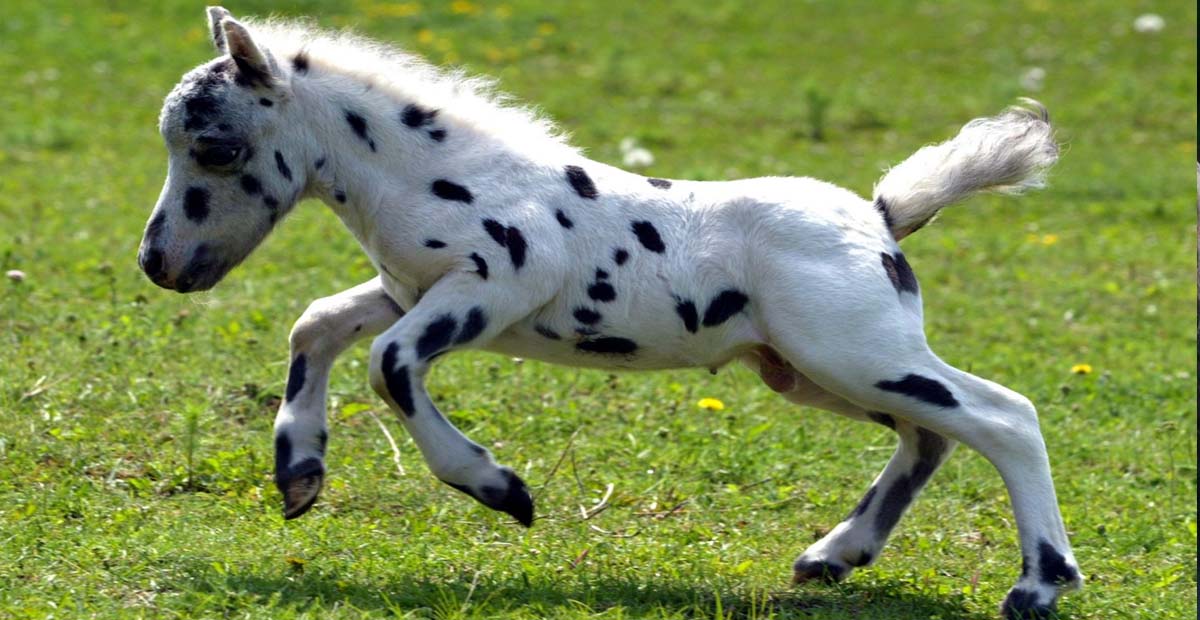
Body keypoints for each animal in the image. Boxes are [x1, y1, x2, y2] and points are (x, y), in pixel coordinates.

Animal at [138, 7, 1080, 614]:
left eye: (215, 146)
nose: (160, 264)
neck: (441, 175)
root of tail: (881, 219)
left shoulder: (489, 287)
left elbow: (389, 364)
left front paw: (501, 489)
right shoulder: (407, 290)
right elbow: (319, 323)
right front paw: (298, 473)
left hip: (854, 353)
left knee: (1003, 415)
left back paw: (1039, 584)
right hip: (810, 371)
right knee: (929, 436)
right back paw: (832, 557)